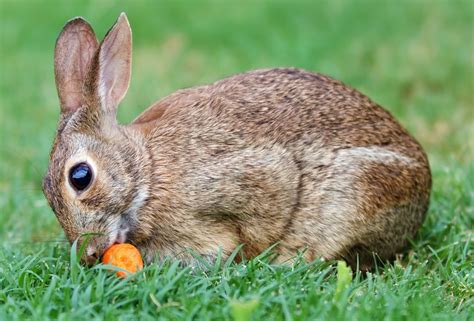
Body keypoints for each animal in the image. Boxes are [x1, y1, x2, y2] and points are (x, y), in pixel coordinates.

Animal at [42, 14, 432, 270]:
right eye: (46, 190)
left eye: (80, 177)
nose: (88, 254)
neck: (147, 172)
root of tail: (424, 187)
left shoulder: (252, 178)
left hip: (361, 188)